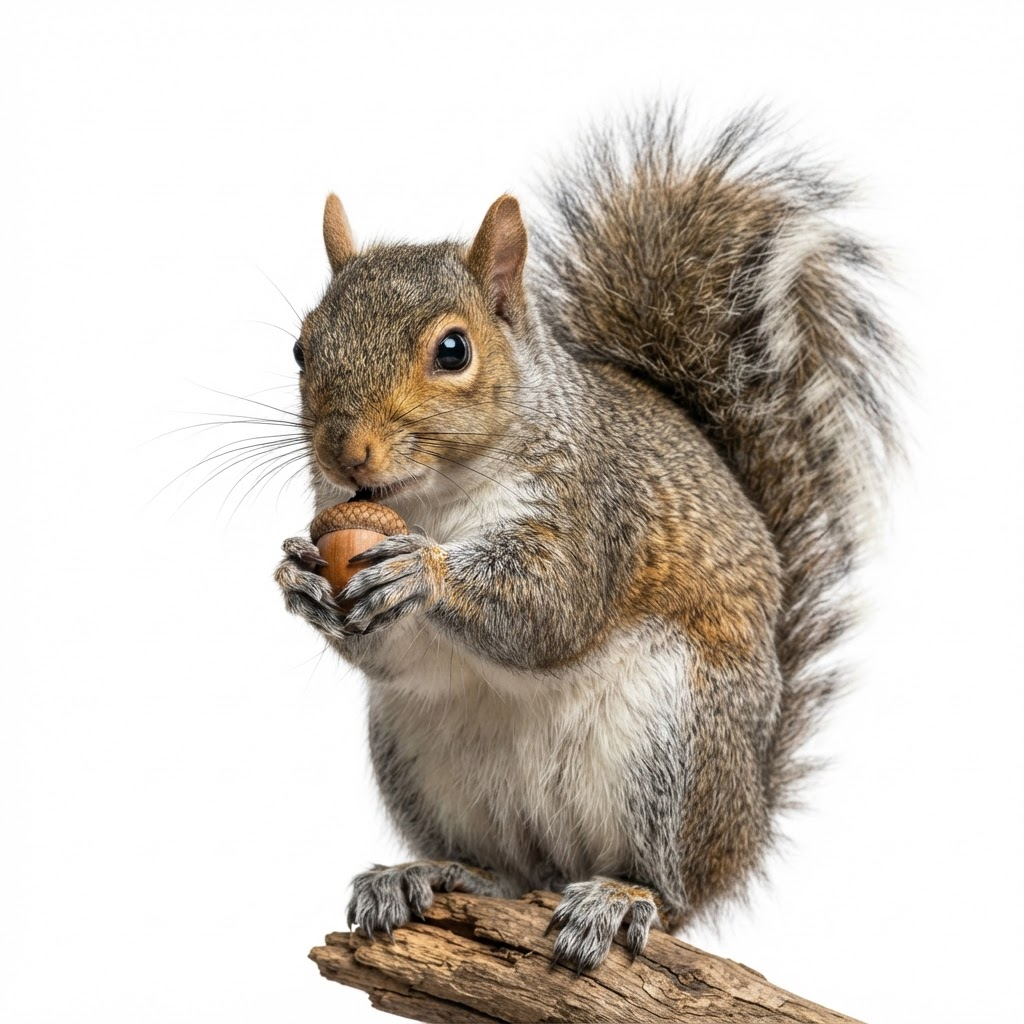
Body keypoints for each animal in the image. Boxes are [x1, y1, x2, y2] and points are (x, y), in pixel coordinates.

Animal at [273, 108, 901, 972]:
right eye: (302, 347)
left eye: (453, 350)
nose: (346, 454)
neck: (436, 500)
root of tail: (745, 826)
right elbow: (391, 654)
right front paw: (300, 579)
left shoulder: (596, 509)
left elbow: (553, 609)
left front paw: (424, 574)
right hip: (417, 751)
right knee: (512, 872)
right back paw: (431, 873)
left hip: (674, 746)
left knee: (674, 896)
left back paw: (620, 896)